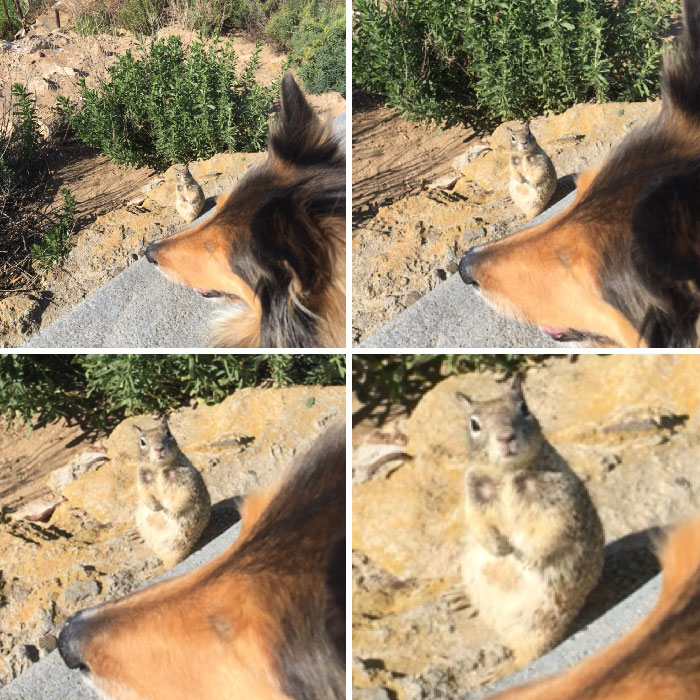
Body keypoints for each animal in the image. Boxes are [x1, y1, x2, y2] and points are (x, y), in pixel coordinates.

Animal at [133, 416, 211, 568]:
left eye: (168, 433)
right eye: (142, 442)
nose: (159, 448)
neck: (159, 468)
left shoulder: (187, 480)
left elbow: (184, 496)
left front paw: (171, 512)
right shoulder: (141, 479)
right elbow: (144, 495)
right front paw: (154, 506)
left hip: (176, 546)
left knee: (173, 561)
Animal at [455, 375, 604, 667]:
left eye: (524, 408)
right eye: (474, 424)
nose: (505, 437)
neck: (506, 474)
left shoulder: (559, 498)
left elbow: (556, 528)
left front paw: (530, 559)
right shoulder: (474, 497)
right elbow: (478, 526)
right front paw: (499, 548)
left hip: (537, 623)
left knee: (529, 654)